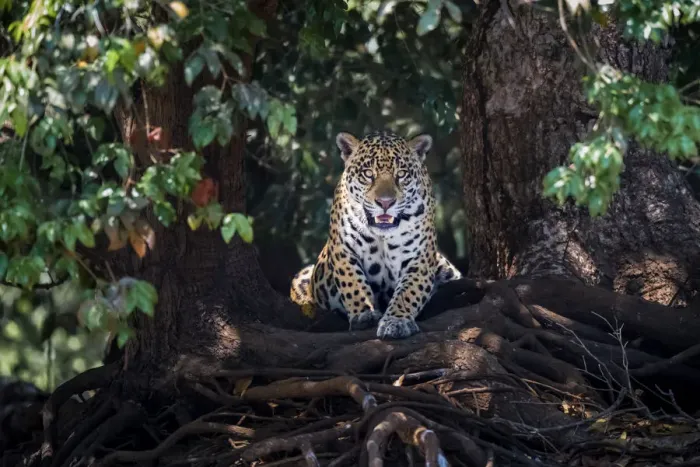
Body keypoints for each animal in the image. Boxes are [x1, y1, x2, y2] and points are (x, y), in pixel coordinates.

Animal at [290, 130, 462, 339]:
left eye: (401, 174)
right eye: (368, 174)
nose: (385, 202)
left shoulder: (419, 258)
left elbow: (408, 292)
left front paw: (396, 321)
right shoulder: (343, 249)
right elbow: (353, 283)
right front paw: (365, 313)